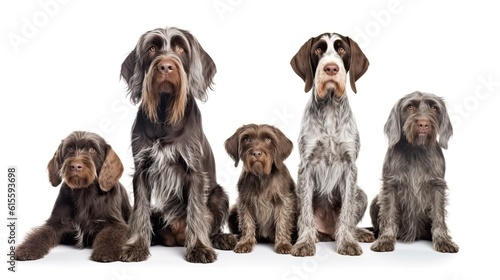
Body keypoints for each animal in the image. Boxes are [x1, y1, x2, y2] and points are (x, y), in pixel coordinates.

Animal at [370, 91, 458, 253]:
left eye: (434, 108)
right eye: (410, 107)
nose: (423, 124)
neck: (416, 150)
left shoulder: (437, 186)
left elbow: (438, 216)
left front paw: (443, 240)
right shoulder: (390, 186)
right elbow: (389, 214)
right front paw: (385, 240)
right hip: (375, 200)